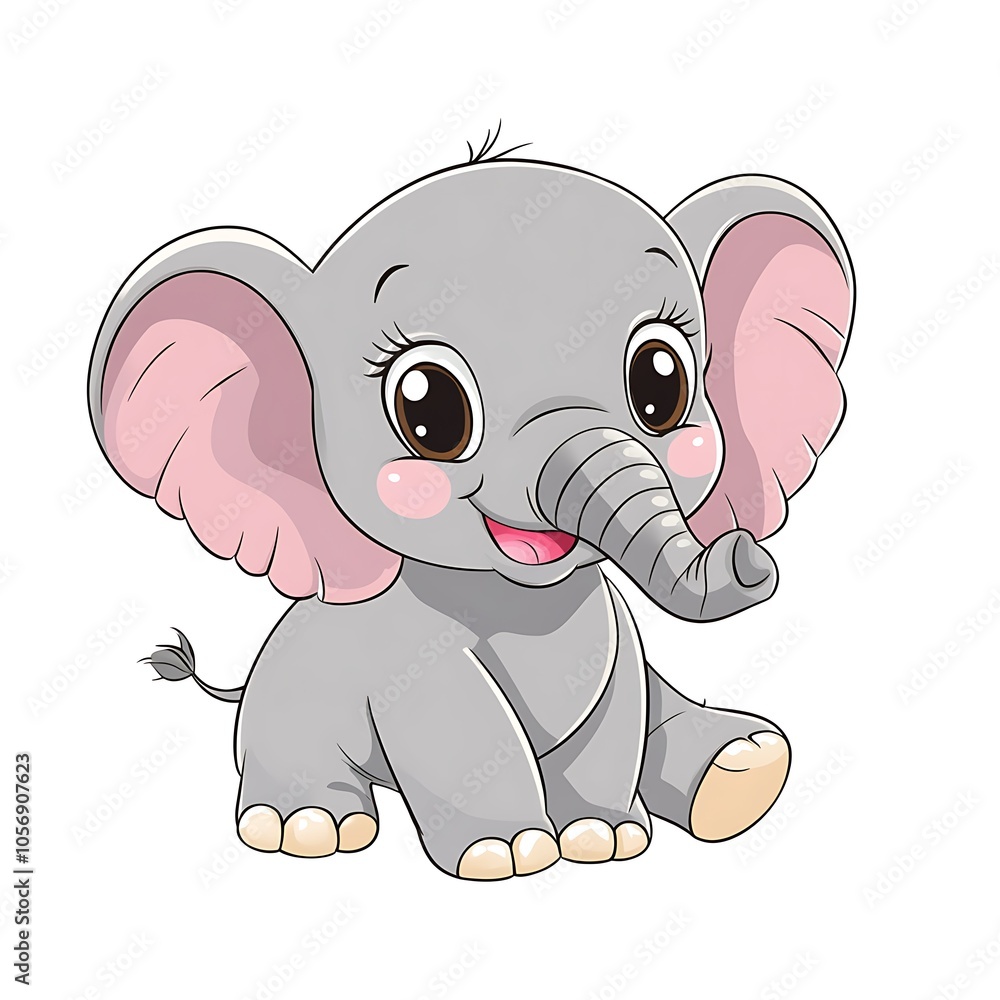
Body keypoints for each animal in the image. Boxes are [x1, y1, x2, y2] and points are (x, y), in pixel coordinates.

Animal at [88, 137, 854, 880]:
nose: (749, 555)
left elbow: (617, 708)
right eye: (428, 409)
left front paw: (604, 839)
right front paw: (511, 855)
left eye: (661, 383)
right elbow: (458, 724)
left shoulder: (608, 634)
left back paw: (742, 770)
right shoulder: (407, 654)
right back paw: (309, 827)